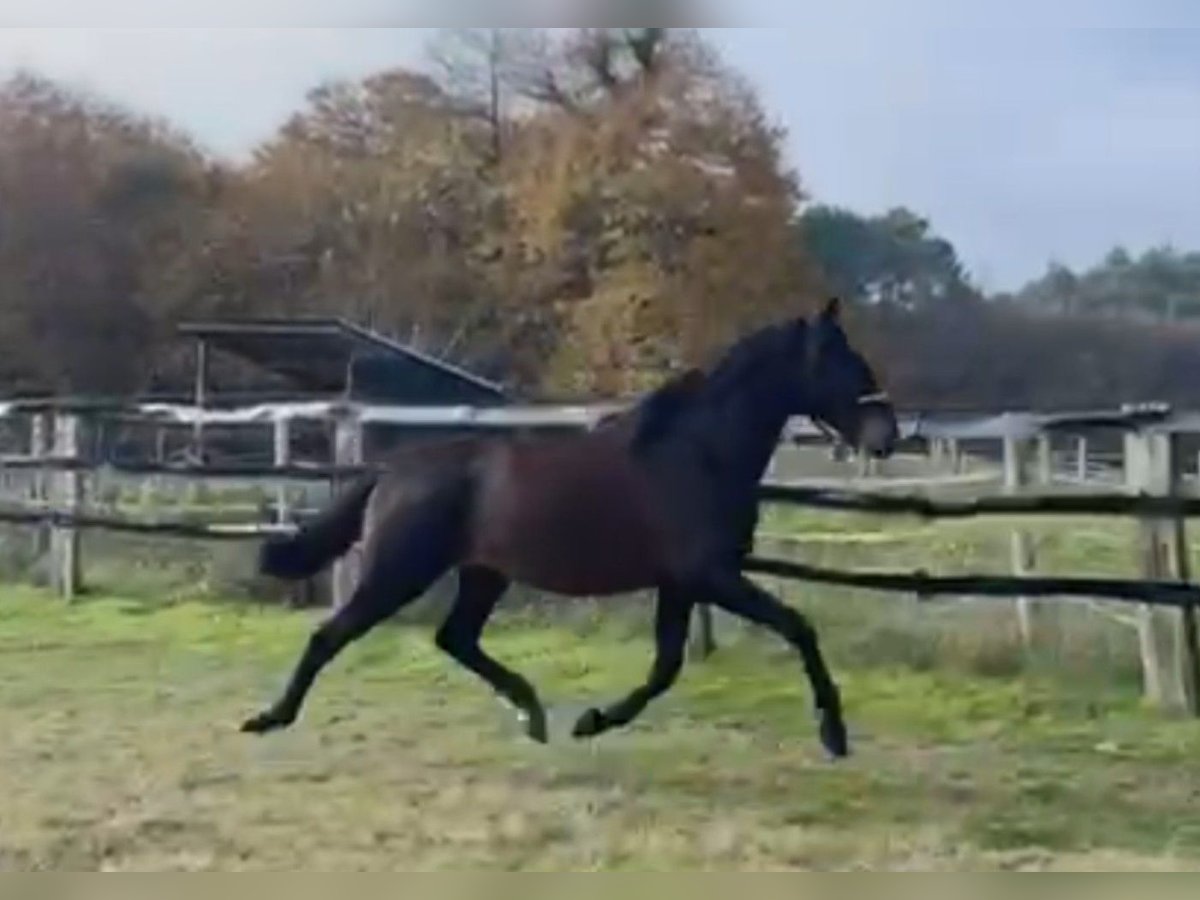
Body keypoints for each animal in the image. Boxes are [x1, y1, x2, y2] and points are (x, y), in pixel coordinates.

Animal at [243, 301, 897, 763]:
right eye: (844, 362)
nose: (887, 435)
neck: (699, 455)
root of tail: (391, 469)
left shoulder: (682, 583)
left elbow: (666, 667)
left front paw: (592, 721)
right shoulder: (711, 575)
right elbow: (798, 629)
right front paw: (835, 733)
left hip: (483, 573)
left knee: (455, 639)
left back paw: (533, 714)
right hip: (398, 571)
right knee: (331, 636)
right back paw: (269, 718)